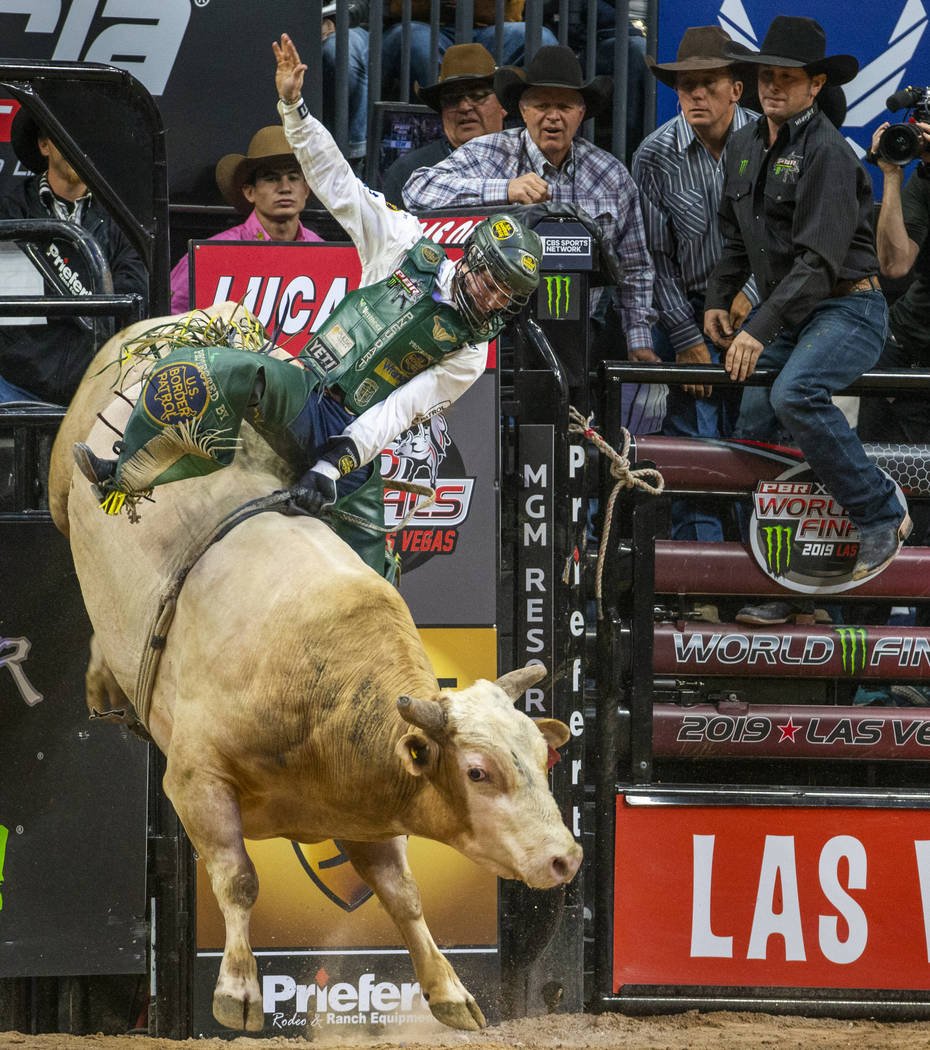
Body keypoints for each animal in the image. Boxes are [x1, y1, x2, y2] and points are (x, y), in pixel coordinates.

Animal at [49, 306, 583, 1033]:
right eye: (478, 771)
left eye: (541, 754)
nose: (566, 856)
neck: (322, 696)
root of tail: (176, 318)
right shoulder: (194, 781)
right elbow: (239, 877)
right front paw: (239, 992)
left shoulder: (368, 813)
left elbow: (403, 896)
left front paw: (450, 992)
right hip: (61, 487)